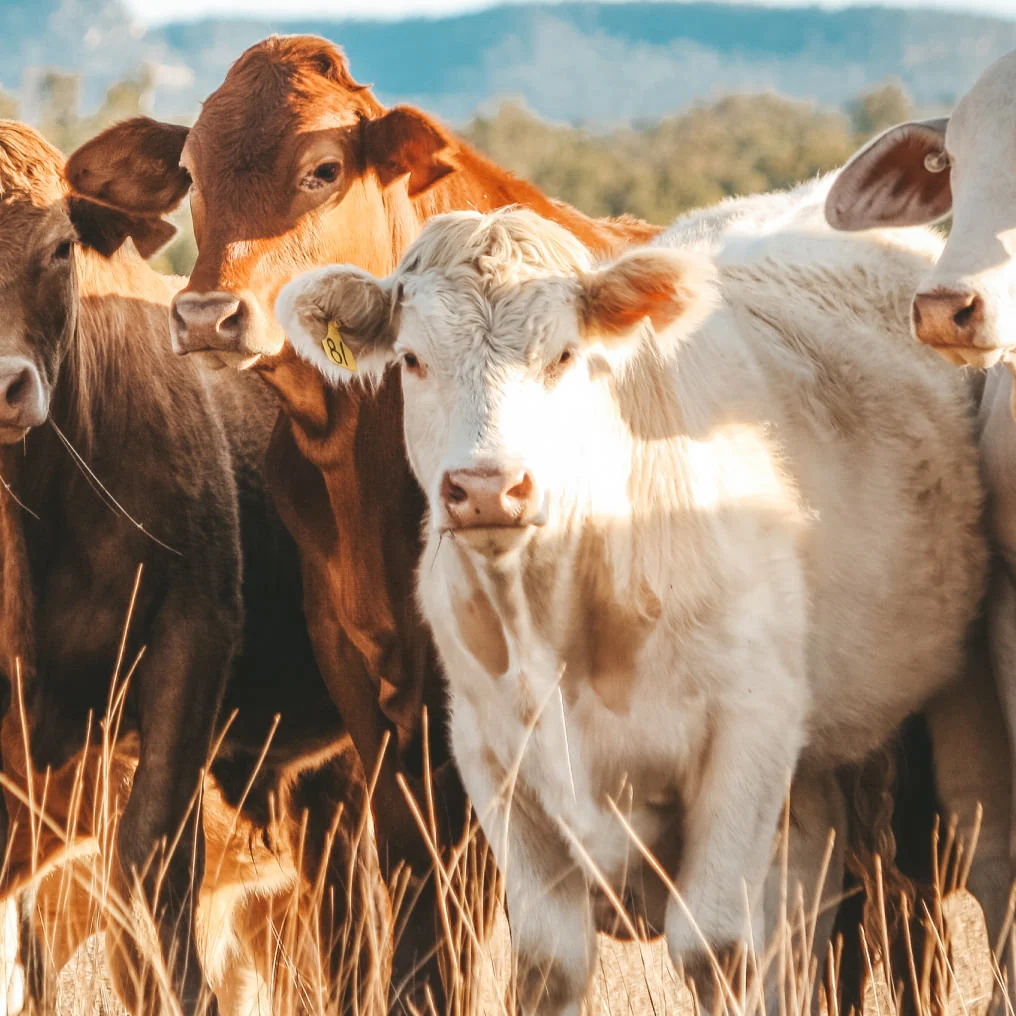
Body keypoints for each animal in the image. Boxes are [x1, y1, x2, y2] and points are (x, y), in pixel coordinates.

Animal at [275, 205, 988, 1015]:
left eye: (563, 354)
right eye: (413, 360)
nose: (488, 487)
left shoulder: (749, 736)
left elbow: (717, 951)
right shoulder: (491, 760)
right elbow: (547, 964)